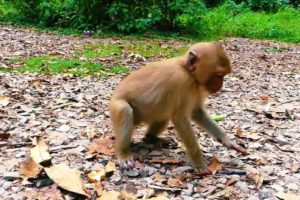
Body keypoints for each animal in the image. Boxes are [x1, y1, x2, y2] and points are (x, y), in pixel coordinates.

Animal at [109, 41, 247, 171]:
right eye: (218, 75)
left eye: (223, 76)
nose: (220, 86)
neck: (186, 70)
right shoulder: (181, 82)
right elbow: (180, 119)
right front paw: (198, 161)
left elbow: (196, 112)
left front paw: (227, 141)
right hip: (116, 107)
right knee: (125, 110)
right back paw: (123, 153)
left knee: (164, 113)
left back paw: (152, 138)